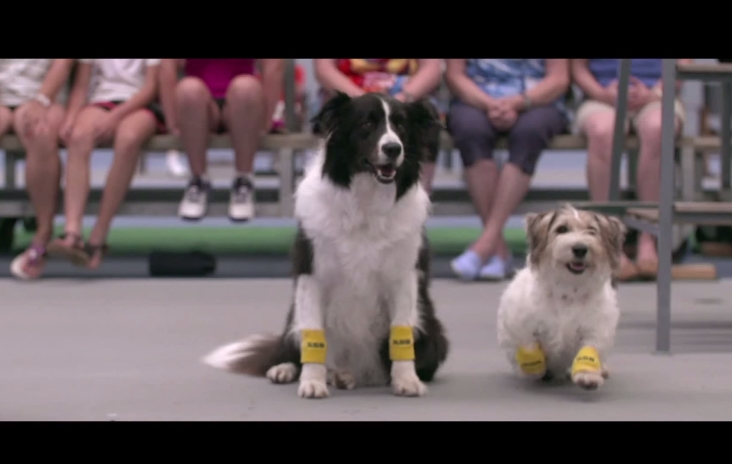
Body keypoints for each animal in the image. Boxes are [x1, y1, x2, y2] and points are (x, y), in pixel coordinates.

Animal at [203, 91, 448, 398]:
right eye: (367, 124)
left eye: (401, 126)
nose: (393, 148)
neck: (366, 203)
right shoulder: (312, 274)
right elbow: (314, 338)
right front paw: (312, 382)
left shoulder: (403, 277)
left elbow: (400, 331)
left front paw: (406, 380)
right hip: (293, 317)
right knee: (293, 347)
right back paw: (288, 370)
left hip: (433, 332)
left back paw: (345, 377)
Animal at [500, 205, 628, 390]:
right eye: (561, 229)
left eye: (592, 231)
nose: (580, 249)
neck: (569, 290)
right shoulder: (523, 325)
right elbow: (530, 347)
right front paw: (535, 370)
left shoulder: (595, 327)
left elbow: (589, 347)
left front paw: (588, 375)